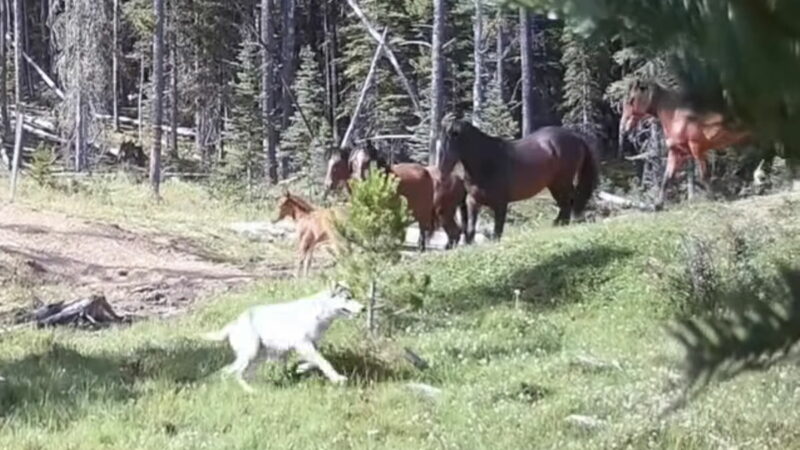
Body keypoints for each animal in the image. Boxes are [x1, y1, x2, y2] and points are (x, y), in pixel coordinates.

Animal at [438, 119, 600, 243]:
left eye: (448, 145)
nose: (441, 173)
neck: (486, 163)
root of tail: (576, 137)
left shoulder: (500, 203)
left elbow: (498, 229)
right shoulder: (472, 201)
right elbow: (471, 229)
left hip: (563, 181)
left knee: (570, 200)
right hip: (554, 184)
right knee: (565, 203)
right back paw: (559, 223)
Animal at [620, 80, 752, 207]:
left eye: (631, 100)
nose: (623, 127)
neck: (676, 115)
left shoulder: (696, 148)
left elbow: (703, 175)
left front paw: (713, 198)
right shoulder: (676, 151)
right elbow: (667, 178)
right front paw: (658, 204)